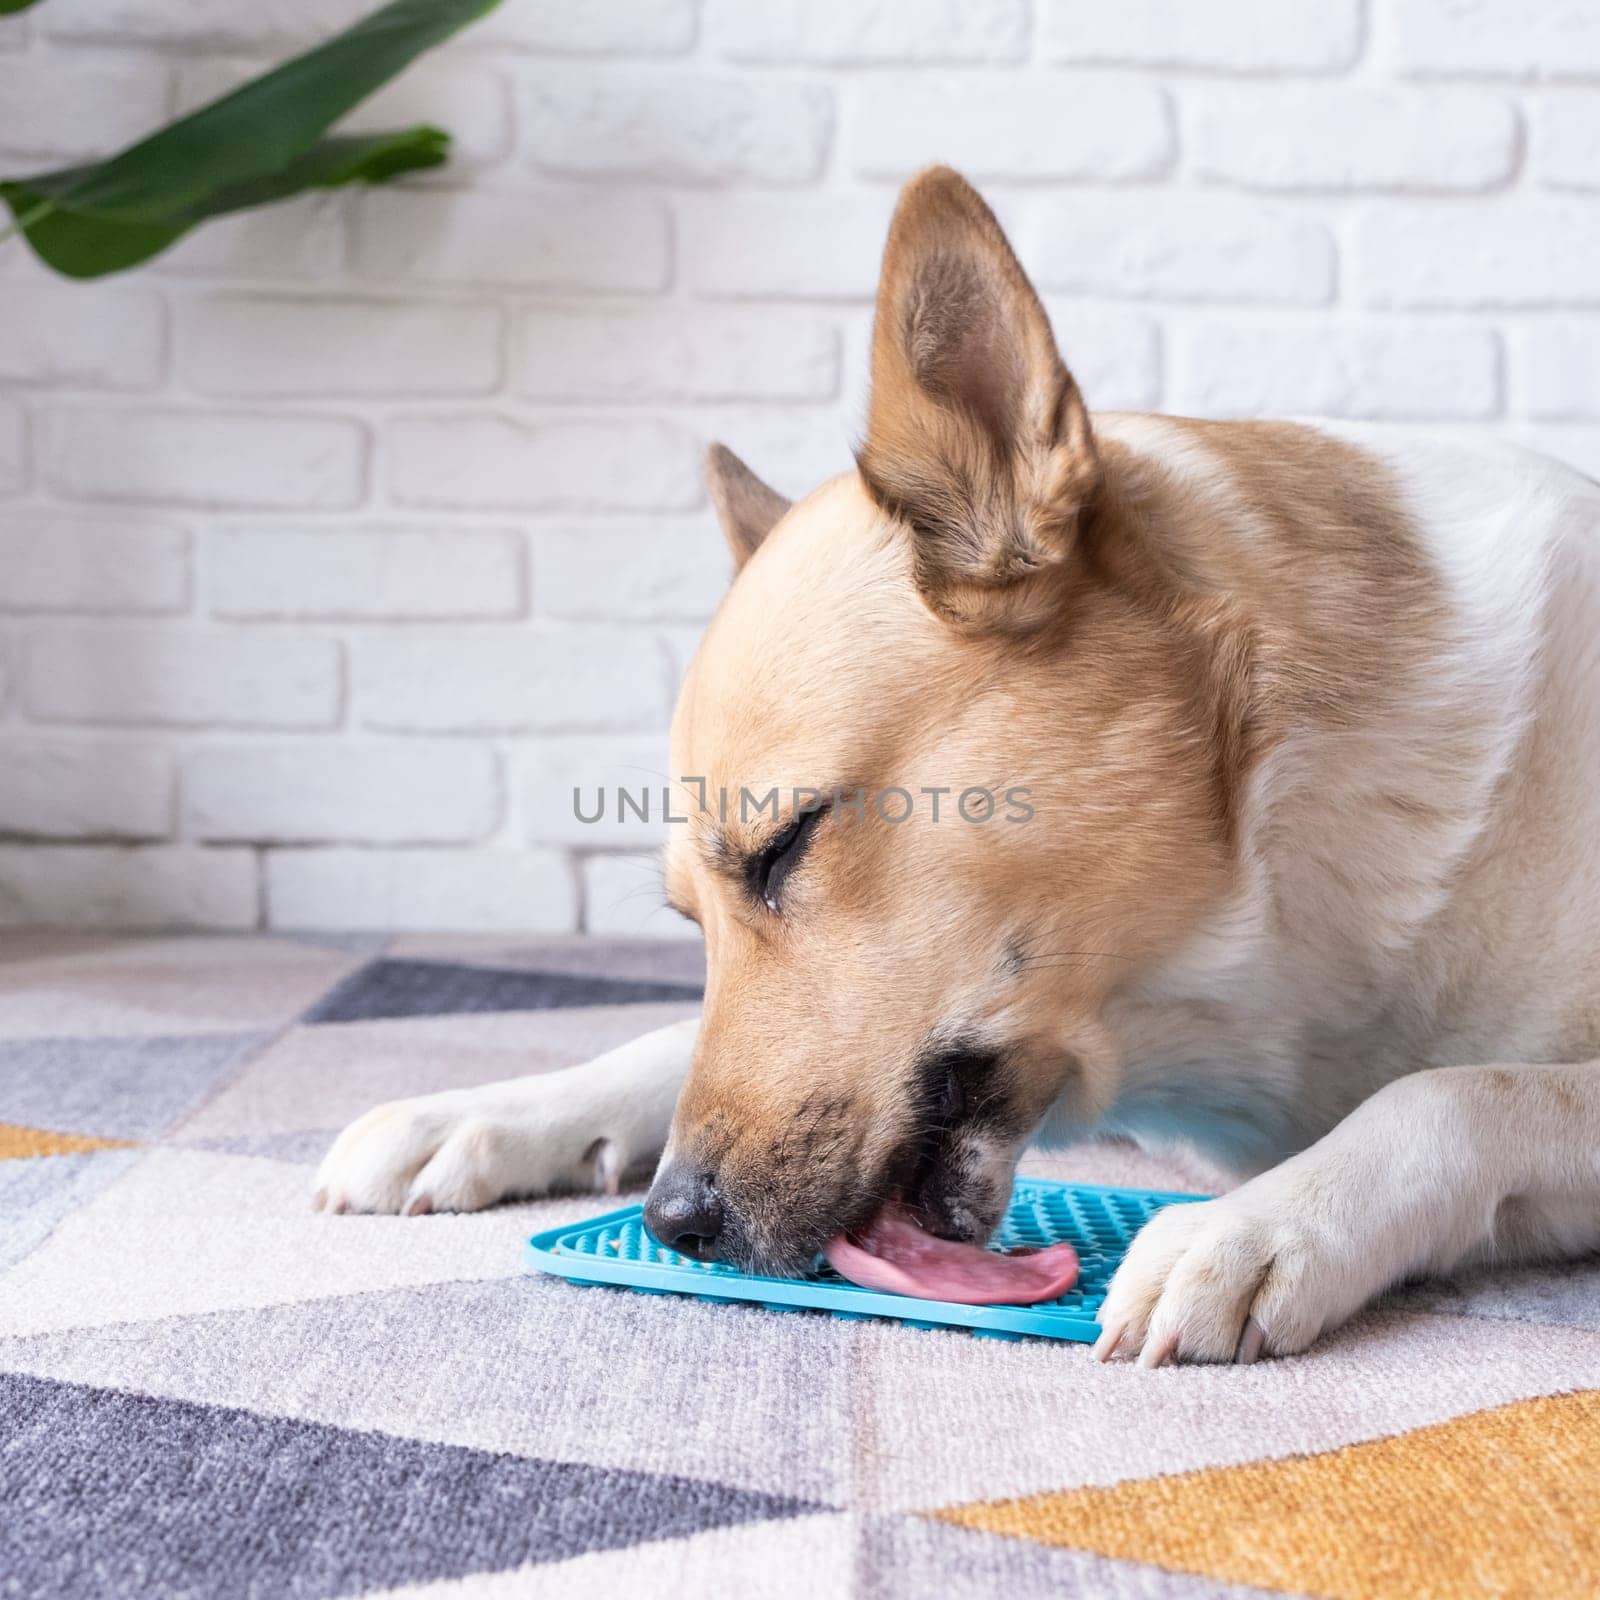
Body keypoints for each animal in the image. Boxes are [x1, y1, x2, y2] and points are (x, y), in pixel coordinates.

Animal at [312, 165, 1600, 1363]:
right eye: (688, 920)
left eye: (785, 844)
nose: (677, 1223)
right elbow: (664, 1040)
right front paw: (487, 1110)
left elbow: (1451, 1092)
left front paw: (1255, 1225)